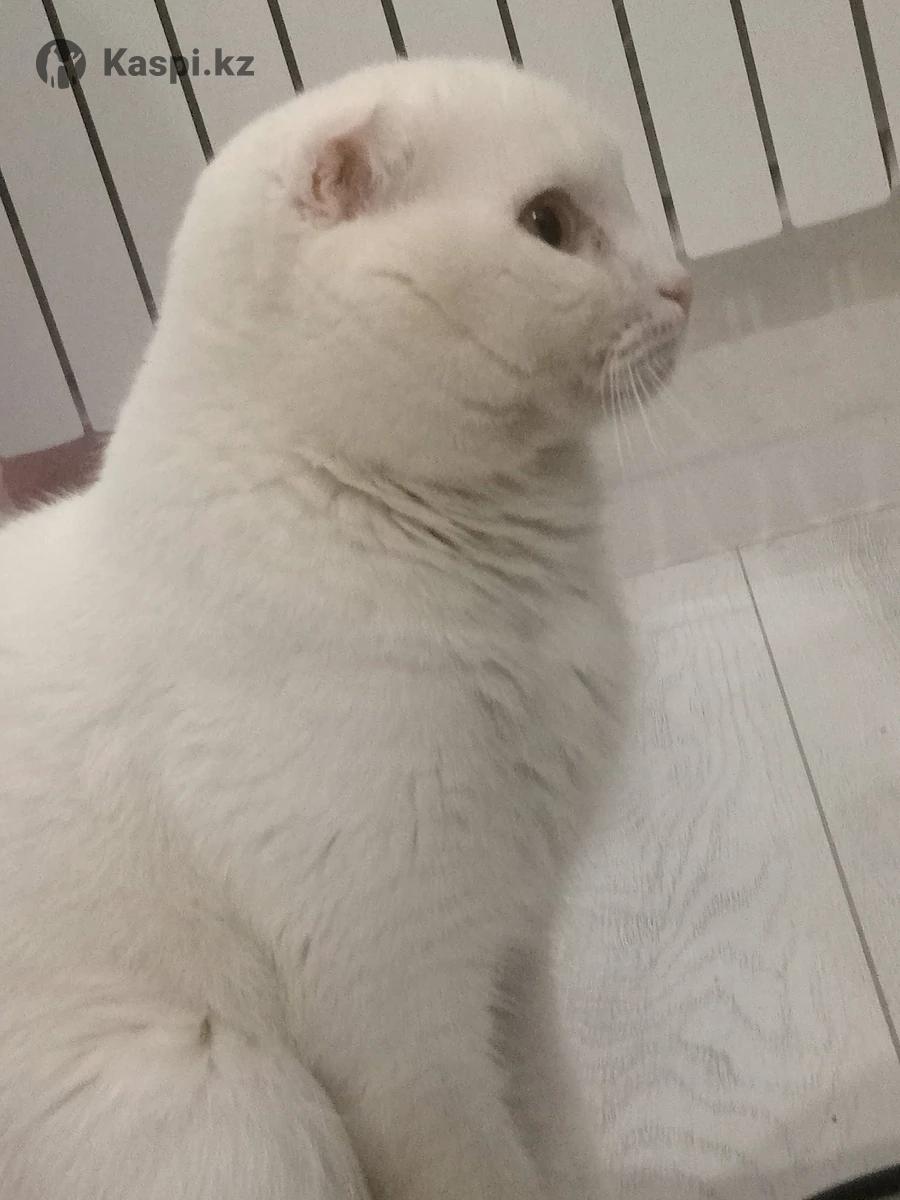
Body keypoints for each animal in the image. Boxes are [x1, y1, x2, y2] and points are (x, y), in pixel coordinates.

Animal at [0, 57, 689, 1200]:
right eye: (548, 224)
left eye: (632, 194)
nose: (684, 282)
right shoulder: (403, 1031)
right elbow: (484, 1171)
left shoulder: (508, 959)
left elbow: (556, 1139)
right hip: (232, 1098)